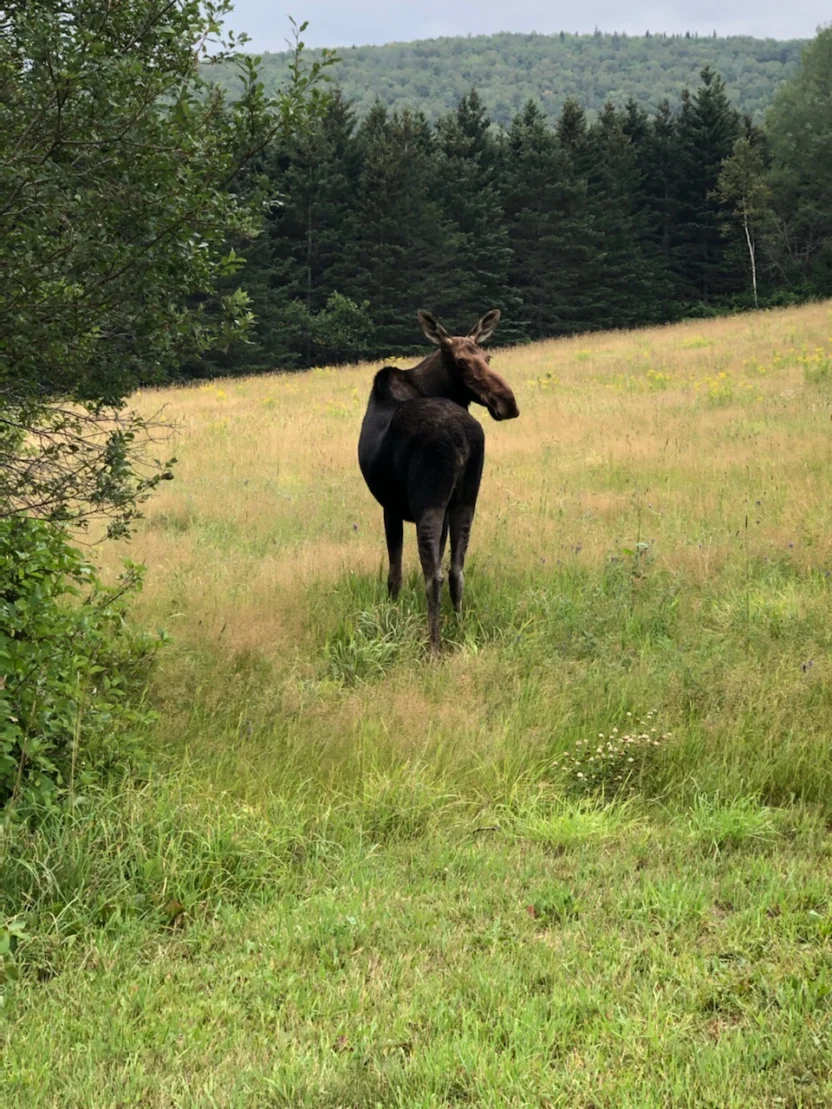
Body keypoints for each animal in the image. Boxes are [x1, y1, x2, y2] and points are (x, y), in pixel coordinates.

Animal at [358, 309, 519, 652]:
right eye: (461, 362)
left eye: (488, 357)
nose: (508, 402)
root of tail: (462, 437)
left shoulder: (390, 506)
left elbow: (394, 574)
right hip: (466, 500)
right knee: (456, 570)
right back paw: (459, 628)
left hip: (427, 502)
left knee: (435, 576)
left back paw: (434, 645)